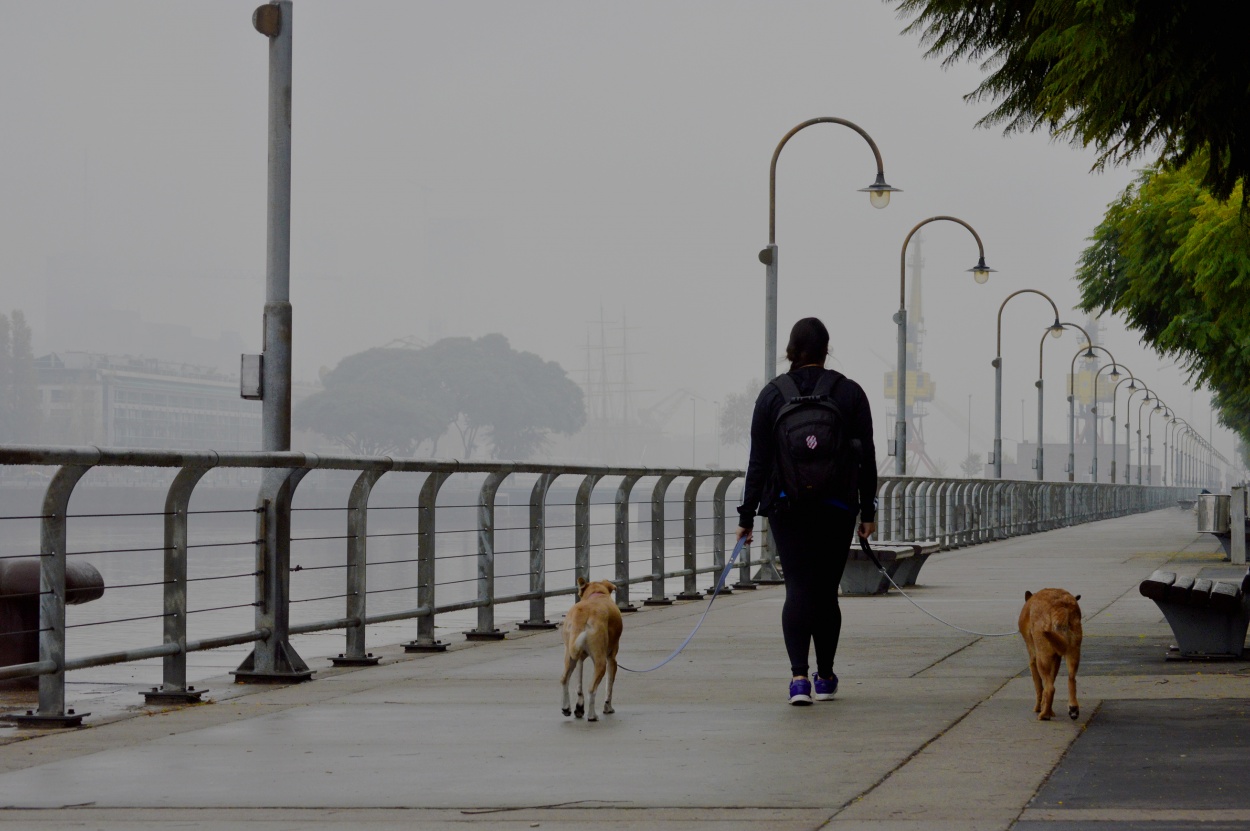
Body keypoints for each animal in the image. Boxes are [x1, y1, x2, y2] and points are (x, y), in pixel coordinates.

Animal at [560, 577, 622, 719]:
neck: (597, 594)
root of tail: (583, 613)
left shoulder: (579, 659)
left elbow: (579, 687)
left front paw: (579, 708)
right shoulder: (612, 660)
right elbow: (609, 687)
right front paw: (608, 707)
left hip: (570, 656)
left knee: (564, 680)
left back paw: (566, 708)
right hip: (601, 661)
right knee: (592, 689)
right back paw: (592, 716)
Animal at [1020, 589, 1080, 719]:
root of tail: (1060, 605)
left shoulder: (1033, 661)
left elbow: (1040, 688)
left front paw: (1039, 708)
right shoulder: (1056, 659)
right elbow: (1050, 682)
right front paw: (1049, 709)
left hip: (1042, 660)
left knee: (1050, 688)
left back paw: (1044, 715)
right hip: (1073, 653)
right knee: (1071, 680)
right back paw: (1073, 708)